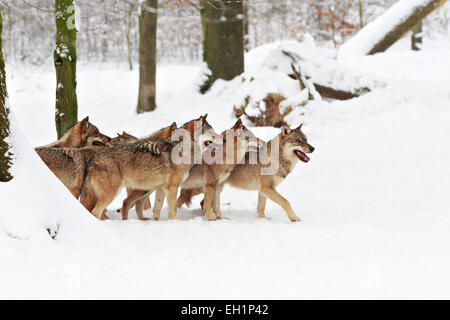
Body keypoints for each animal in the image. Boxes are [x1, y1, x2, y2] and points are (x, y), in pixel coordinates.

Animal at [81, 114, 221, 221]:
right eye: (211, 133)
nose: (223, 139)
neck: (183, 148)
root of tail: (93, 159)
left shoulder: (161, 188)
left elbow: (157, 209)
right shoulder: (172, 188)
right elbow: (173, 211)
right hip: (113, 193)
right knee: (96, 211)